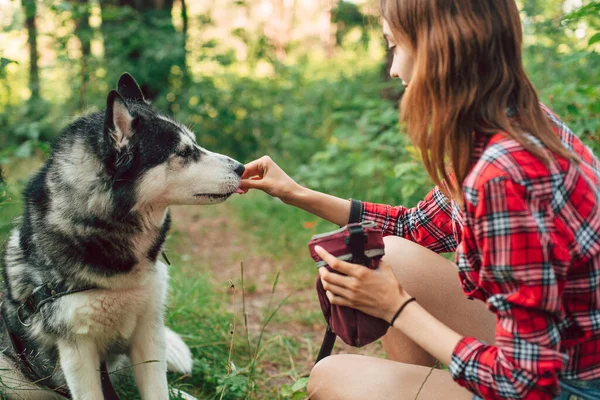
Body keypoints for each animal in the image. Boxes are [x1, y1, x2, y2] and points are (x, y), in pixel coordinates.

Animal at [0, 73, 245, 398]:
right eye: (183, 152)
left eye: (195, 144)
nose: (242, 168)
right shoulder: (78, 353)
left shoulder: (148, 333)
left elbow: (158, 391)